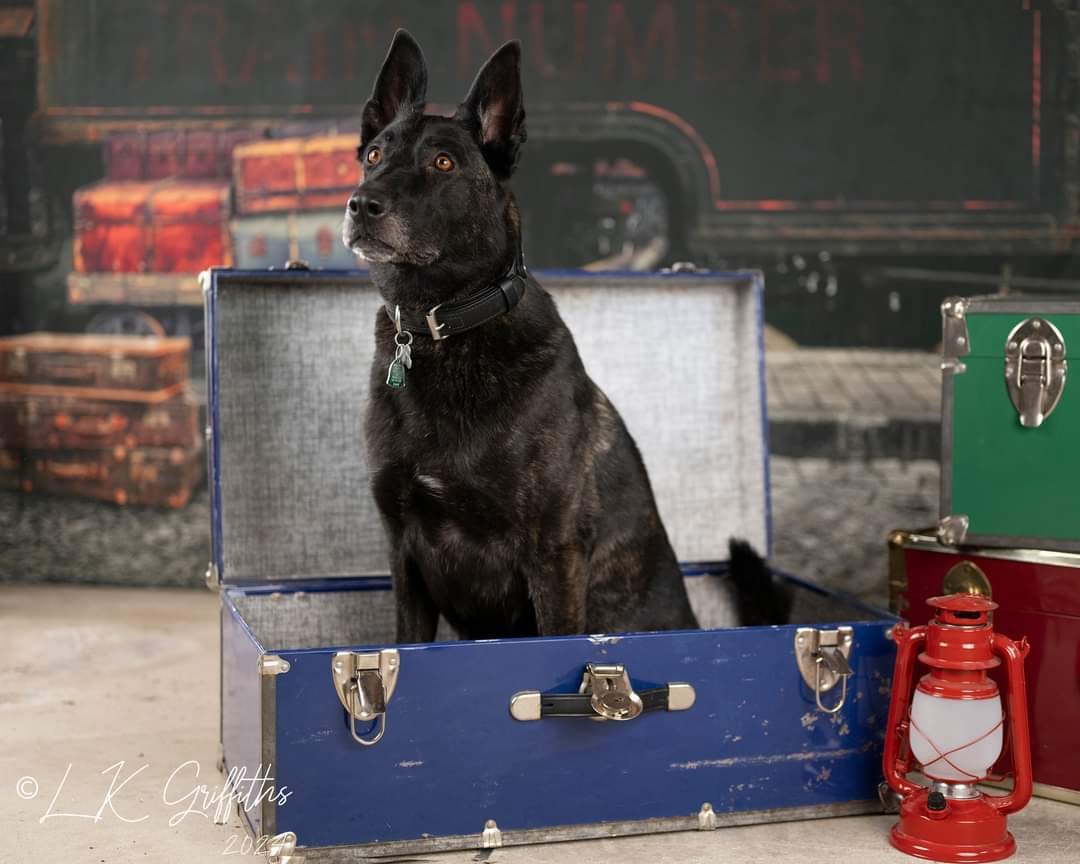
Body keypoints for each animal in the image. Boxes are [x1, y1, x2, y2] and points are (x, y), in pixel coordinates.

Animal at [341, 30, 781, 639]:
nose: (363, 204)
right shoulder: (404, 556)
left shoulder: (554, 556)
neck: (443, 328)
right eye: (374, 156)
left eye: (443, 162)